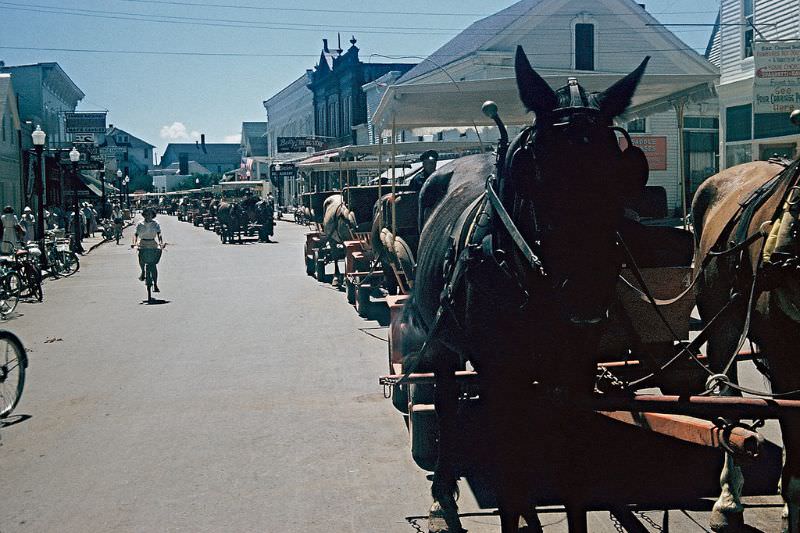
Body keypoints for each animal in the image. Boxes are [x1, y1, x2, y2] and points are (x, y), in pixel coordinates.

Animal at [396, 46, 648, 532]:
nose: (584, 291)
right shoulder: (499, 371)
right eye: (536, 170)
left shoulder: (576, 367)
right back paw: (444, 491)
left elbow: (571, 470)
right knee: (445, 401)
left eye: (620, 170)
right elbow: (509, 473)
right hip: (441, 342)